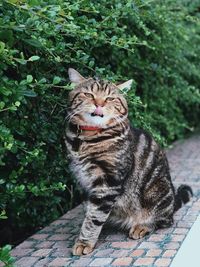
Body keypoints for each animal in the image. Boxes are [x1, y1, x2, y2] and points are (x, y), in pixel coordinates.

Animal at [65, 68, 192, 256]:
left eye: (110, 98)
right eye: (88, 94)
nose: (99, 104)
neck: (86, 140)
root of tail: (172, 203)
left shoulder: (108, 182)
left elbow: (94, 218)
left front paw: (84, 241)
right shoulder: (84, 181)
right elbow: (91, 211)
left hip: (158, 192)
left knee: (165, 220)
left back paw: (142, 226)